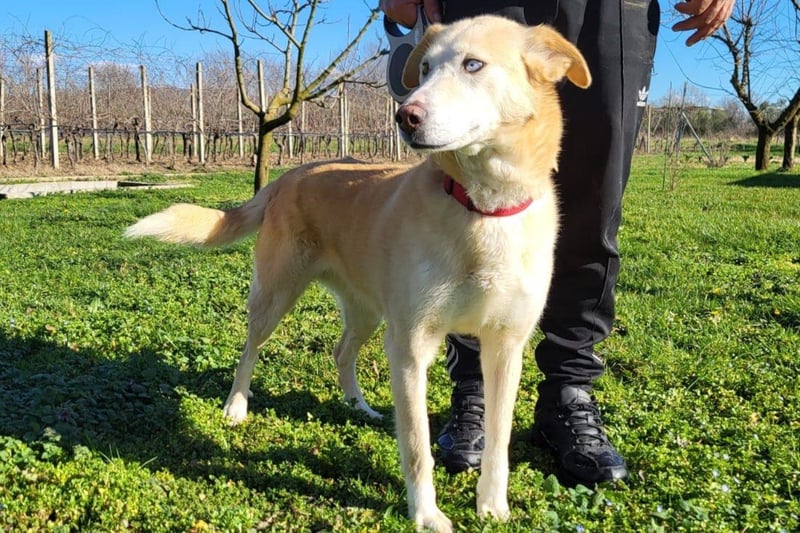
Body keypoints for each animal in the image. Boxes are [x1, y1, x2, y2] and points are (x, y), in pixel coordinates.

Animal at [126, 15, 589, 532]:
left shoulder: (506, 347)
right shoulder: (410, 347)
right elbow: (417, 446)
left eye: (474, 65)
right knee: (250, 349)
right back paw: (236, 406)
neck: (483, 208)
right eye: (424, 68)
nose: (405, 115)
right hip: (276, 295)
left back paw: (358, 405)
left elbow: (499, 440)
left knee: (340, 350)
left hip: (368, 312)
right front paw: (425, 514)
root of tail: (290, 174)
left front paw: (492, 505)